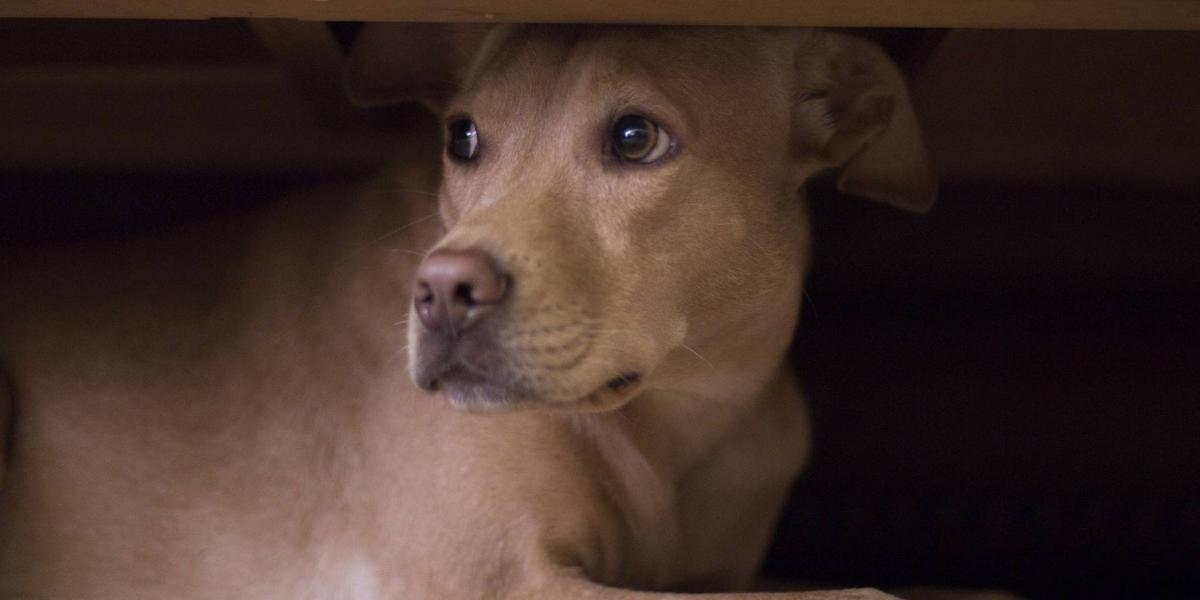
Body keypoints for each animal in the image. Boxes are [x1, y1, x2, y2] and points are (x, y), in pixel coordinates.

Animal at [0, 24, 936, 600]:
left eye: (636, 138)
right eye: (464, 137)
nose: (441, 291)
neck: (679, 419)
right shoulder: (505, 580)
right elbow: (861, 591)